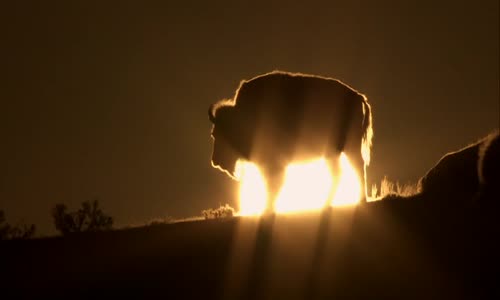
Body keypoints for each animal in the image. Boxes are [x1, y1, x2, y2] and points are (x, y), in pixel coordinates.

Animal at [206, 70, 372, 212]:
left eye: (217, 134)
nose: (215, 161)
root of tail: (357, 96)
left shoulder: (273, 163)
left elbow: (273, 185)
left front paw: (268, 209)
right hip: (332, 154)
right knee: (339, 174)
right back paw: (327, 204)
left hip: (350, 147)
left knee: (358, 168)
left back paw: (360, 200)